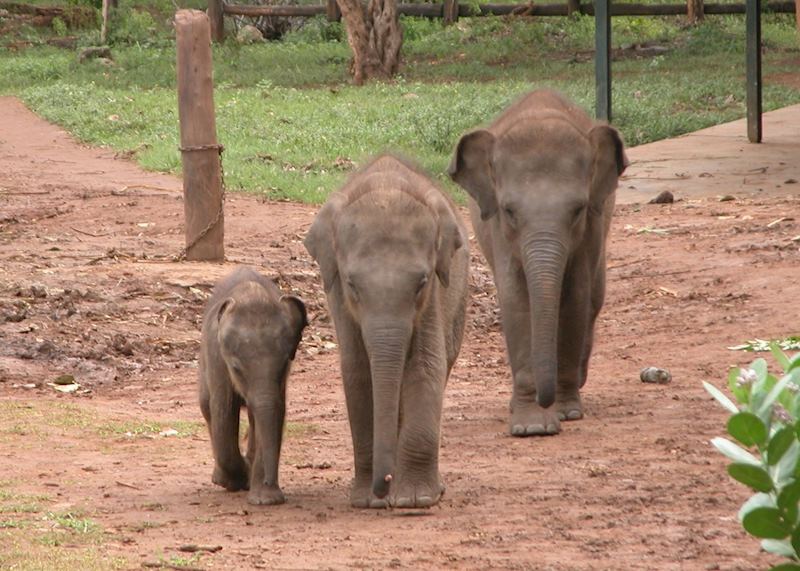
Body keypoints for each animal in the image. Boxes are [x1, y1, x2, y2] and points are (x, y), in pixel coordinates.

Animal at [199, 267, 307, 505]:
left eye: (284, 364)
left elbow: (275, 412)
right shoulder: (218, 359)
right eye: (236, 368)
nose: (269, 481)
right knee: (206, 406)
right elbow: (224, 412)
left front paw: (265, 499)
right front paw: (237, 481)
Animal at [304, 154, 469, 509]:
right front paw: (369, 501)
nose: (384, 487)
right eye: (352, 284)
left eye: (421, 282)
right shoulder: (338, 296)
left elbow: (425, 365)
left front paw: (415, 500)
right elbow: (357, 371)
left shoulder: (435, 294)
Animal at [448, 89, 628, 437]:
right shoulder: (499, 233)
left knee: (595, 299)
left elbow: (574, 298)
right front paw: (532, 426)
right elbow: (517, 300)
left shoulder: (591, 228)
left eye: (578, 209)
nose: (547, 400)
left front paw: (566, 411)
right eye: (509, 211)